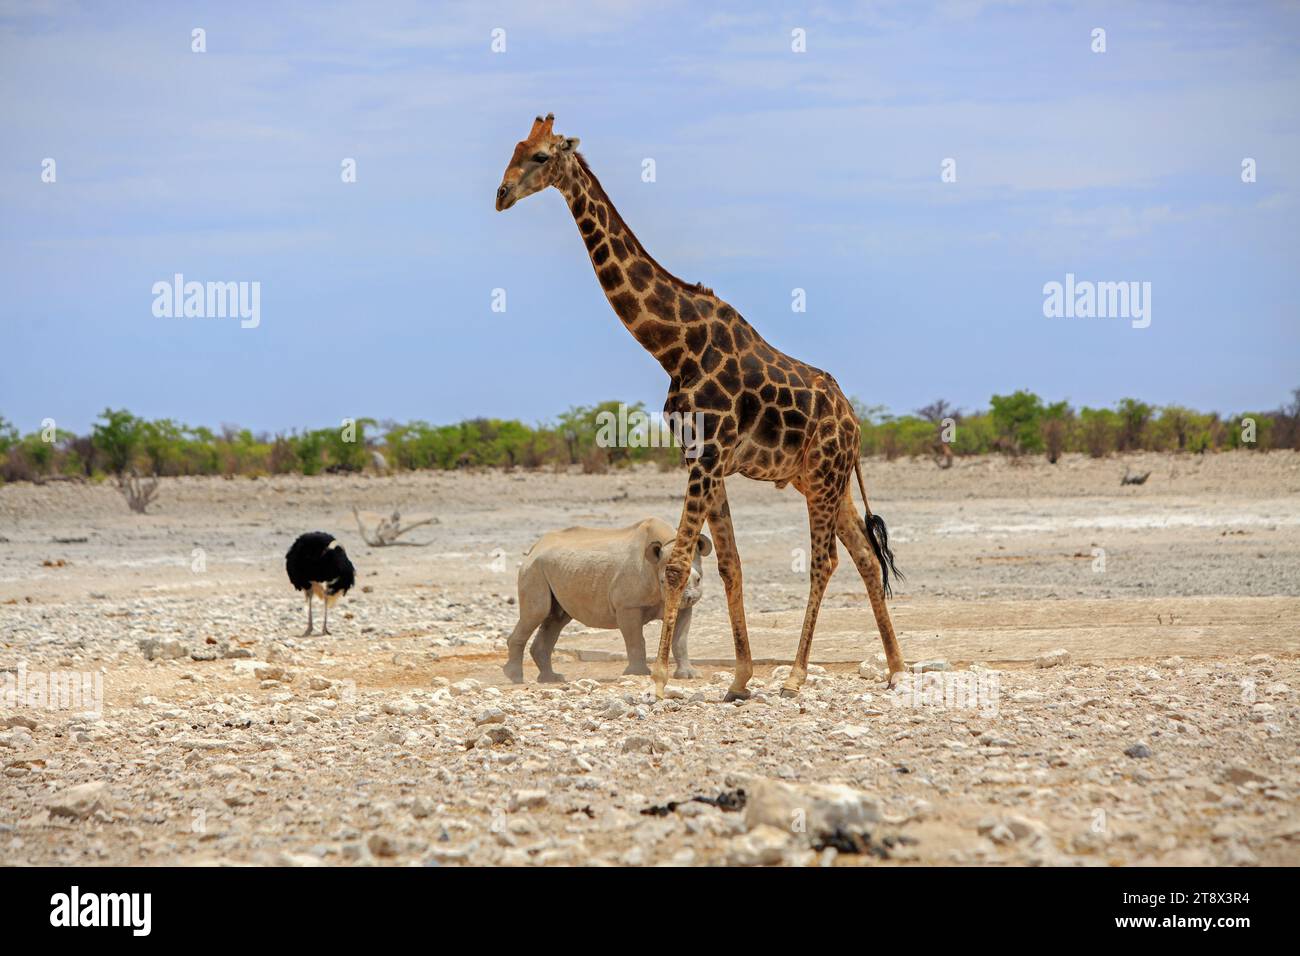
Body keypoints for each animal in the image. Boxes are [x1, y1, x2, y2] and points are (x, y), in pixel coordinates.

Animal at [504, 520, 712, 686]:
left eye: (698, 579)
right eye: (663, 582)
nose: (687, 597)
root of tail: (535, 547)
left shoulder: (683, 608)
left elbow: (680, 640)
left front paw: (689, 675)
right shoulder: (628, 605)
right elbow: (635, 639)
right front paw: (637, 674)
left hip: (553, 567)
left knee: (556, 618)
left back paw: (551, 679)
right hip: (534, 569)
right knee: (537, 612)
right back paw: (516, 678)